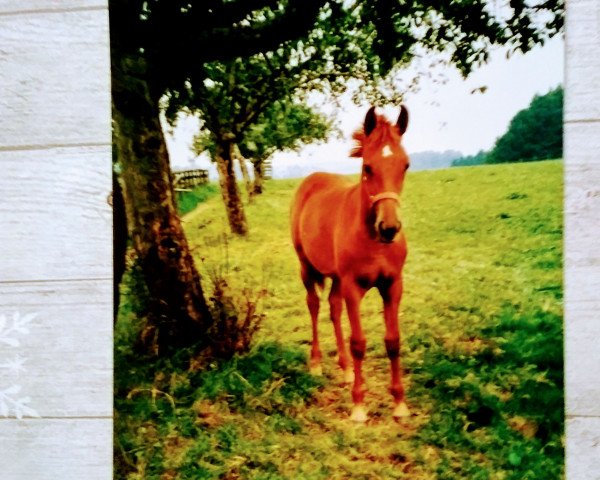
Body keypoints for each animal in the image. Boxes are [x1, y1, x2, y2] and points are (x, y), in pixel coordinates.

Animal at [288, 105, 410, 420]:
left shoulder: (393, 285)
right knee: (314, 305)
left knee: (333, 308)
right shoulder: (354, 287)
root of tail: (311, 180)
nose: (389, 228)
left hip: (336, 278)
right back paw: (316, 363)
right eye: (368, 167)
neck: (373, 240)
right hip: (306, 266)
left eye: (405, 165)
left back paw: (344, 370)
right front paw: (358, 406)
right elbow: (359, 343)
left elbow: (393, 341)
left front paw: (400, 403)